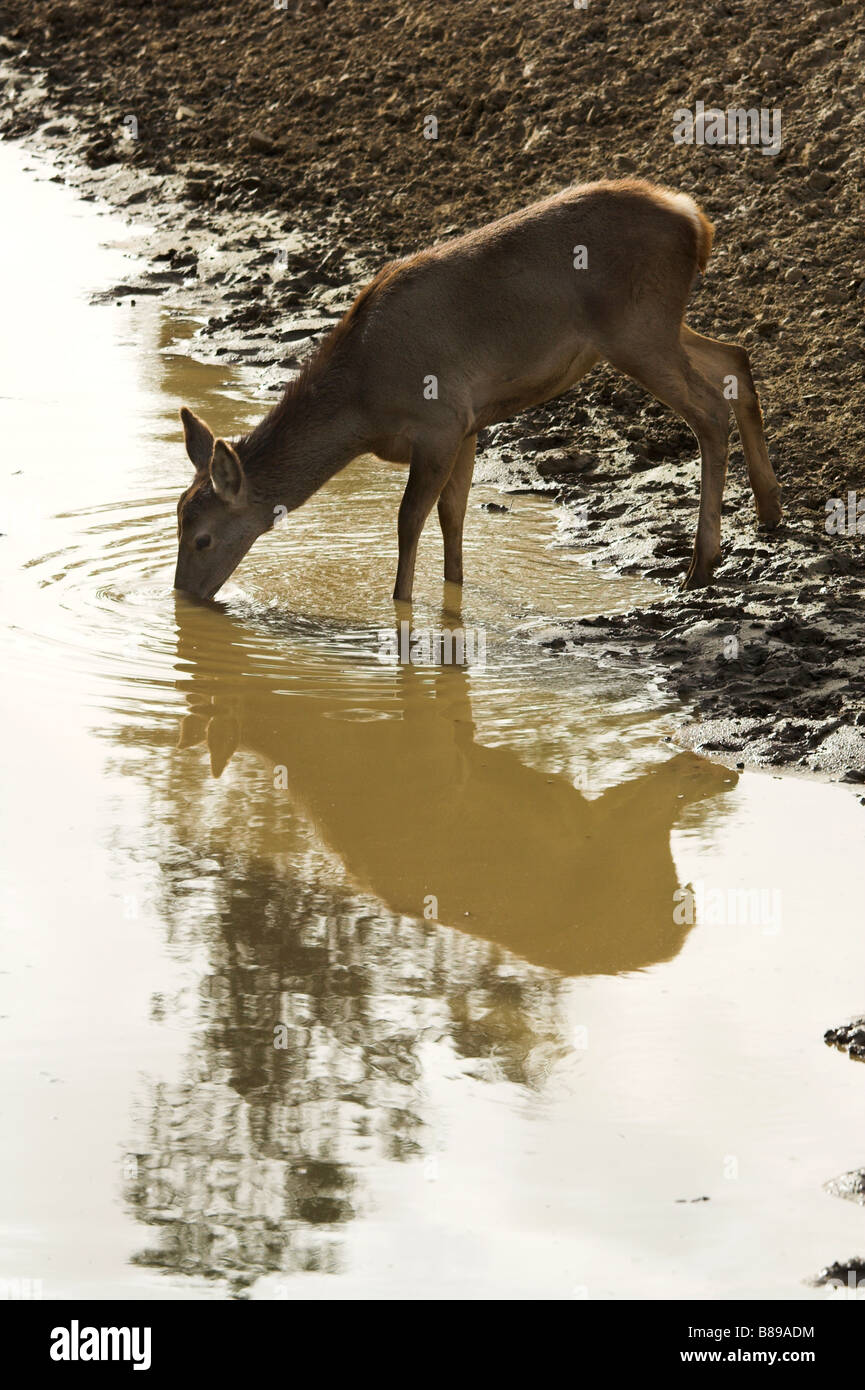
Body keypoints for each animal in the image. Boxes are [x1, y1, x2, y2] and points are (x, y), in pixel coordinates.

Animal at [175, 178, 782, 603]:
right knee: (735, 357)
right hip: (656, 326)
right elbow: (453, 515)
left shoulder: (439, 419)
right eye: (177, 517)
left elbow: (408, 520)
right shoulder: (468, 424)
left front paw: (400, 604)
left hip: (636, 327)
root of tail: (696, 220)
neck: (364, 405)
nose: (183, 595)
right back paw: (770, 512)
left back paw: (701, 566)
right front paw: (454, 592)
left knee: (709, 409)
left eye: (201, 537)